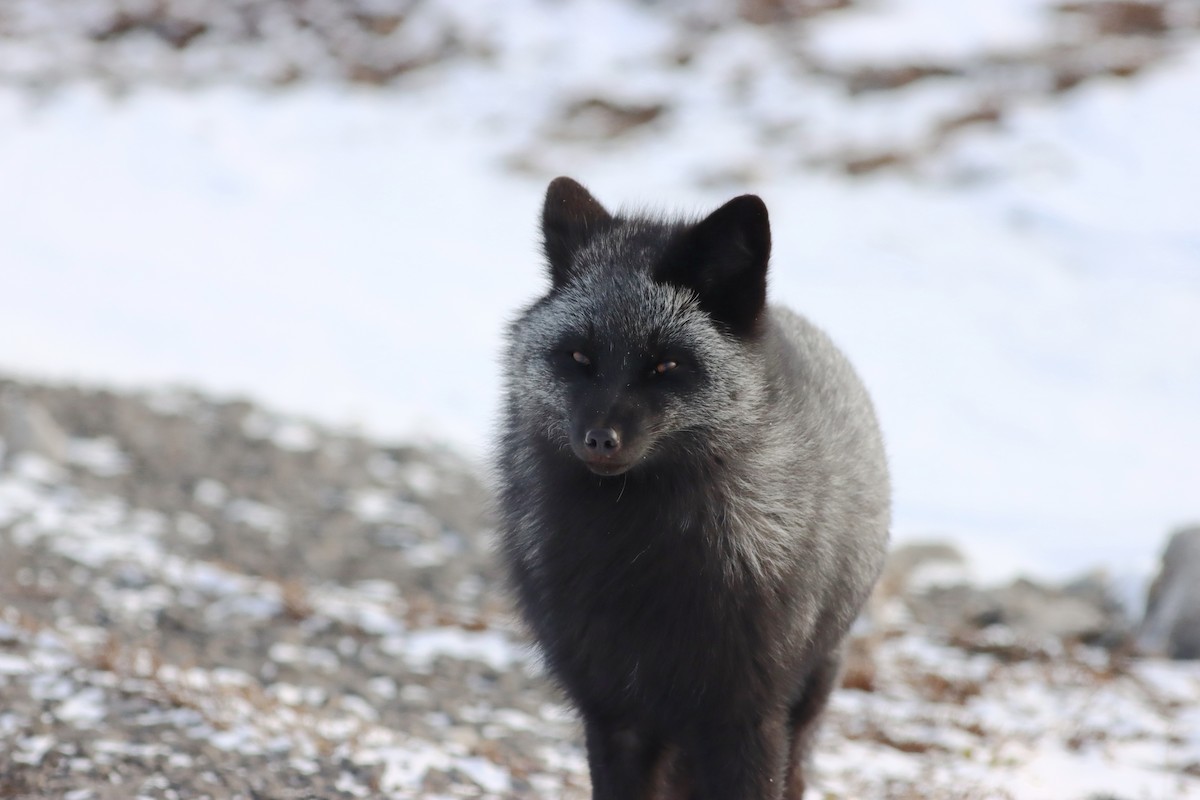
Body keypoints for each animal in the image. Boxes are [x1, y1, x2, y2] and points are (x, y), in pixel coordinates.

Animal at [495, 177, 890, 800]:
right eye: (579, 357)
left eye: (666, 365)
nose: (599, 440)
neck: (638, 560)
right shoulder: (613, 713)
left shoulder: (746, 717)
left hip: (807, 696)